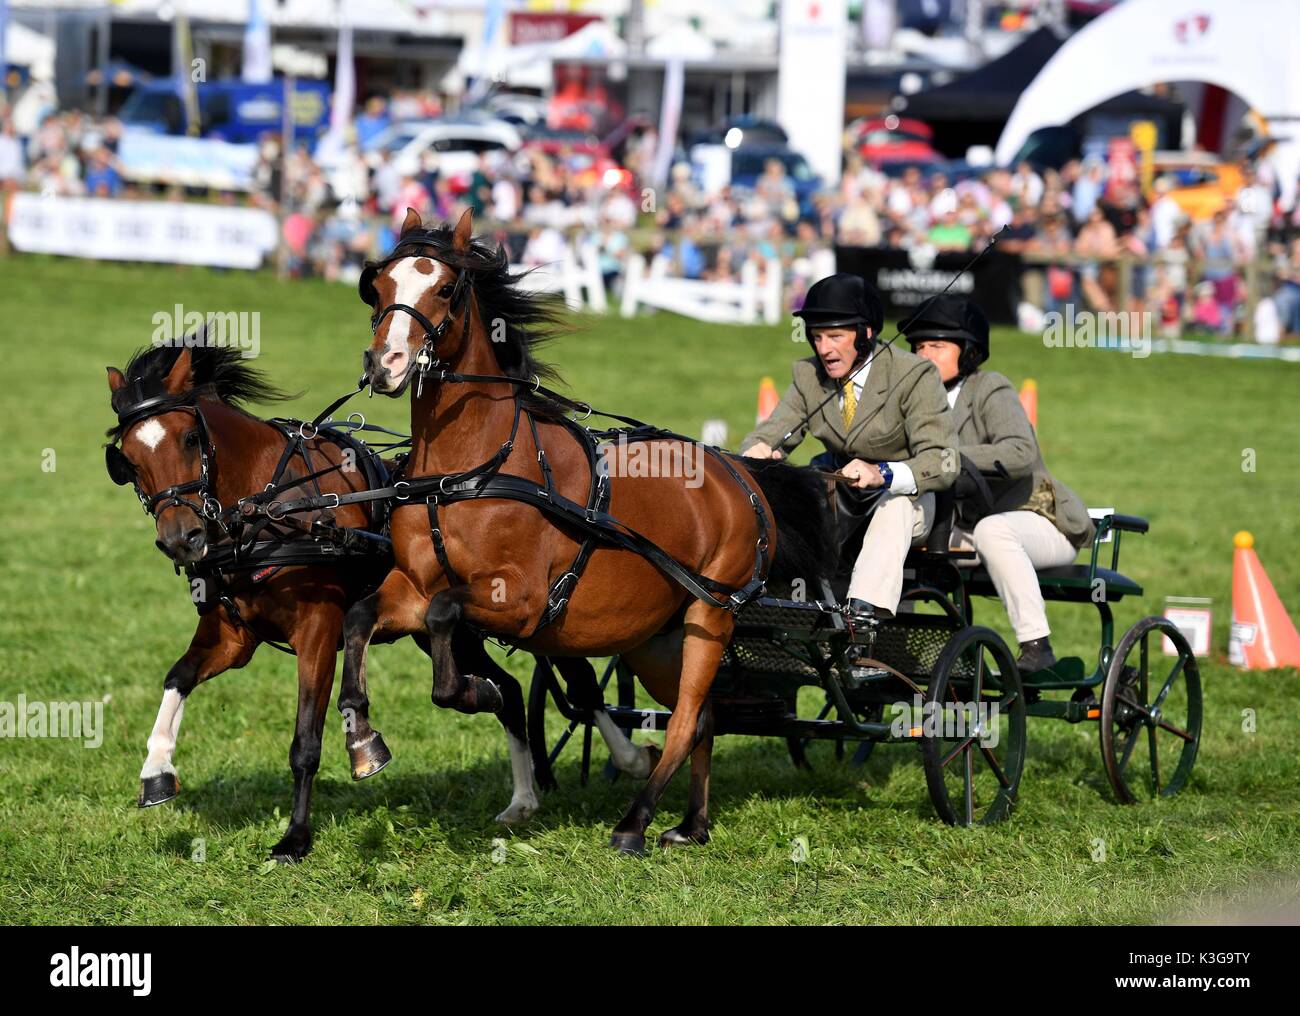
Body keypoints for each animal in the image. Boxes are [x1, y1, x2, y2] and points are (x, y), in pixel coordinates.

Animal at [343, 210, 832, 857]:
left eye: (445, 289)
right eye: (377, 287)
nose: (386, 364)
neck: (466, 473)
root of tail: (737, 470)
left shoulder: (518, 600)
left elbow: (450, 620)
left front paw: (479, 691)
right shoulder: (410, 589)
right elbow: (361, 618)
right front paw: (362, 741)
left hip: (711, 617)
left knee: (685, 720)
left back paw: (634, 821)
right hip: (657, 638)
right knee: (703, 717)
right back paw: (692, 823)